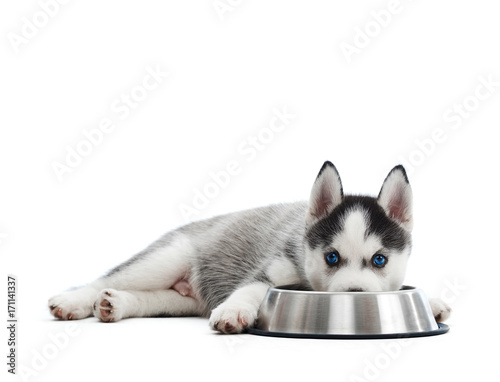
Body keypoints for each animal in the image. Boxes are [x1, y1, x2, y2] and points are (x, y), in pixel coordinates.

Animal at [48, 163, 452, 332]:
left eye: (380, 259)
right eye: (332, 257)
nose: (354, 296)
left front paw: (432, 303)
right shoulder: (270, 270)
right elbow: (251, 290)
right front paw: (234, 311)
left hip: (182, 300)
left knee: (151, 299)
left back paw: (115, 304)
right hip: (167, 257)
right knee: (107, 278)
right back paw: (74, 300)